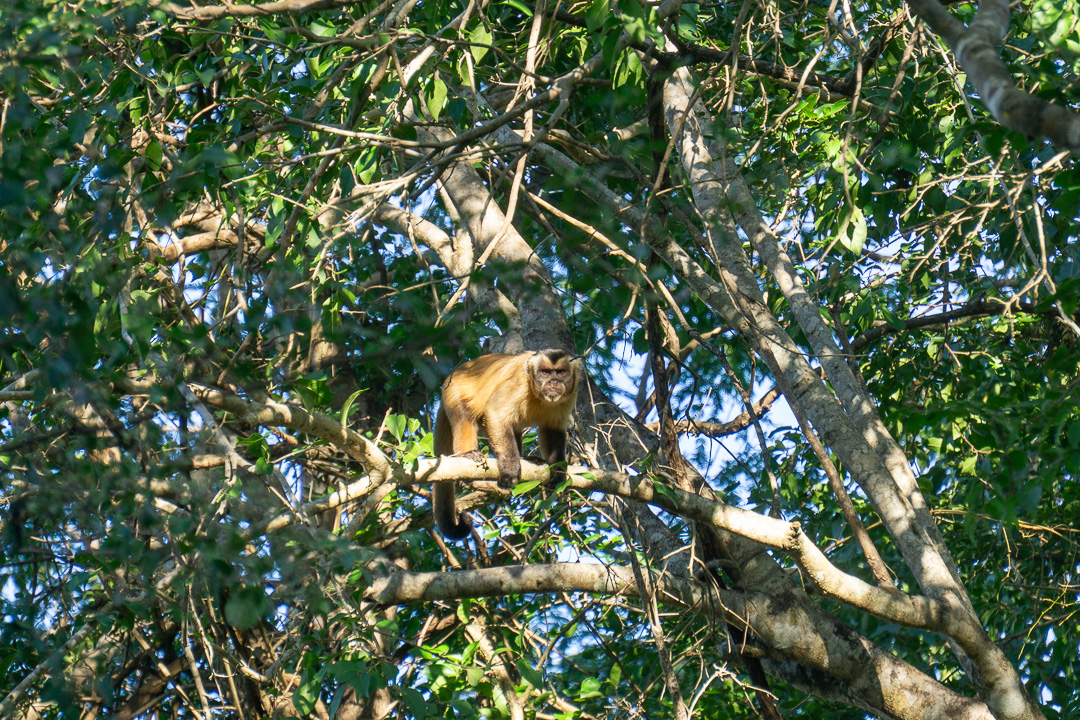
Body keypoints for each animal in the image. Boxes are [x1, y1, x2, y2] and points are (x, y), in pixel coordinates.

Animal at [431, 348, 582, 541]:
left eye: (561, 372)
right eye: (545, 372)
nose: (553, 382)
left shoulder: (571, 394)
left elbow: (553, 429)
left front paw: (557, 468)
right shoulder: (519, 382)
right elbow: (496, 414)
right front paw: (510, 469)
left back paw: (525, 458)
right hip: (454, 390)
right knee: (465, 414)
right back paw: (467, 453)